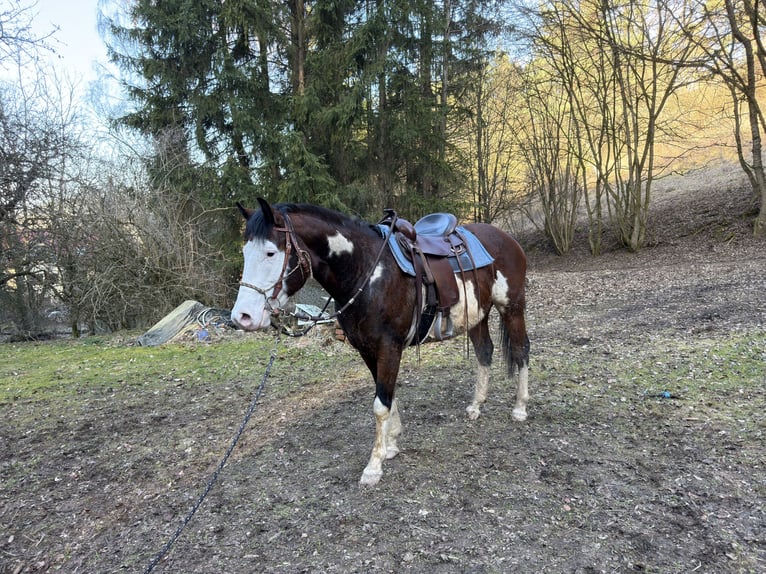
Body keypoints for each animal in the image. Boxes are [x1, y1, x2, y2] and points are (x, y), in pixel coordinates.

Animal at [231, 199, 530, 486]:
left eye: (271, 253)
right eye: (245, 253)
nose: (242, 317)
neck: (368, 272)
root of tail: (505, 237)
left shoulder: (389, 347)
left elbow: (380, 404)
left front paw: (374, 467)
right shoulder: (367, 349)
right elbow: (386, 394)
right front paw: (392, 444)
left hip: (512, 307)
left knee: (521, 350)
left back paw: (519, 409)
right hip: (478, 314)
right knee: (484, 352)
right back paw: (476, 406)